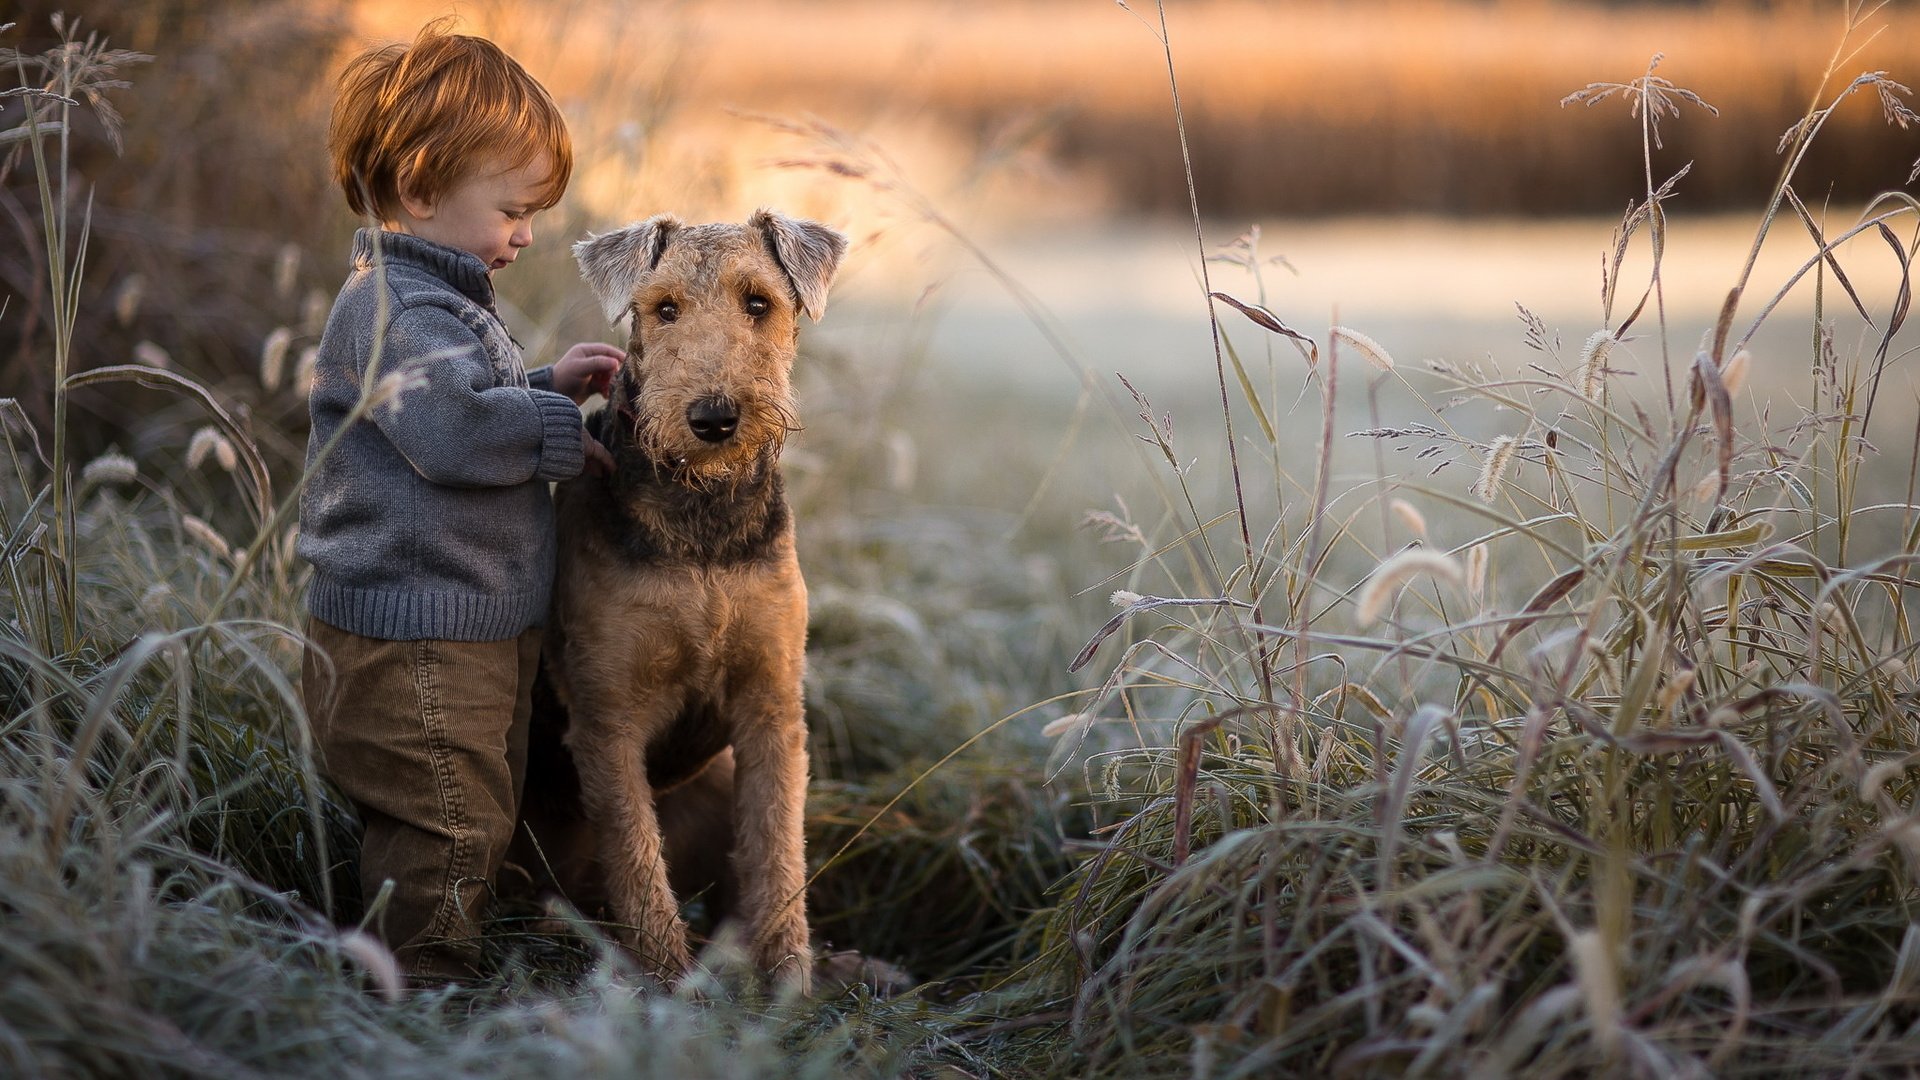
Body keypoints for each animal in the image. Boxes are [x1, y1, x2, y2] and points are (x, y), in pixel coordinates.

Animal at [522, 205, 852, 991]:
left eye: (758, 302)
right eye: (664, 309)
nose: (713, 418)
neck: (703, 520)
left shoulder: (771, 706)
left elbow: (776, 852)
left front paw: (790, 984)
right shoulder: (608, 718)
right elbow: (640, 867)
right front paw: (666, 990)